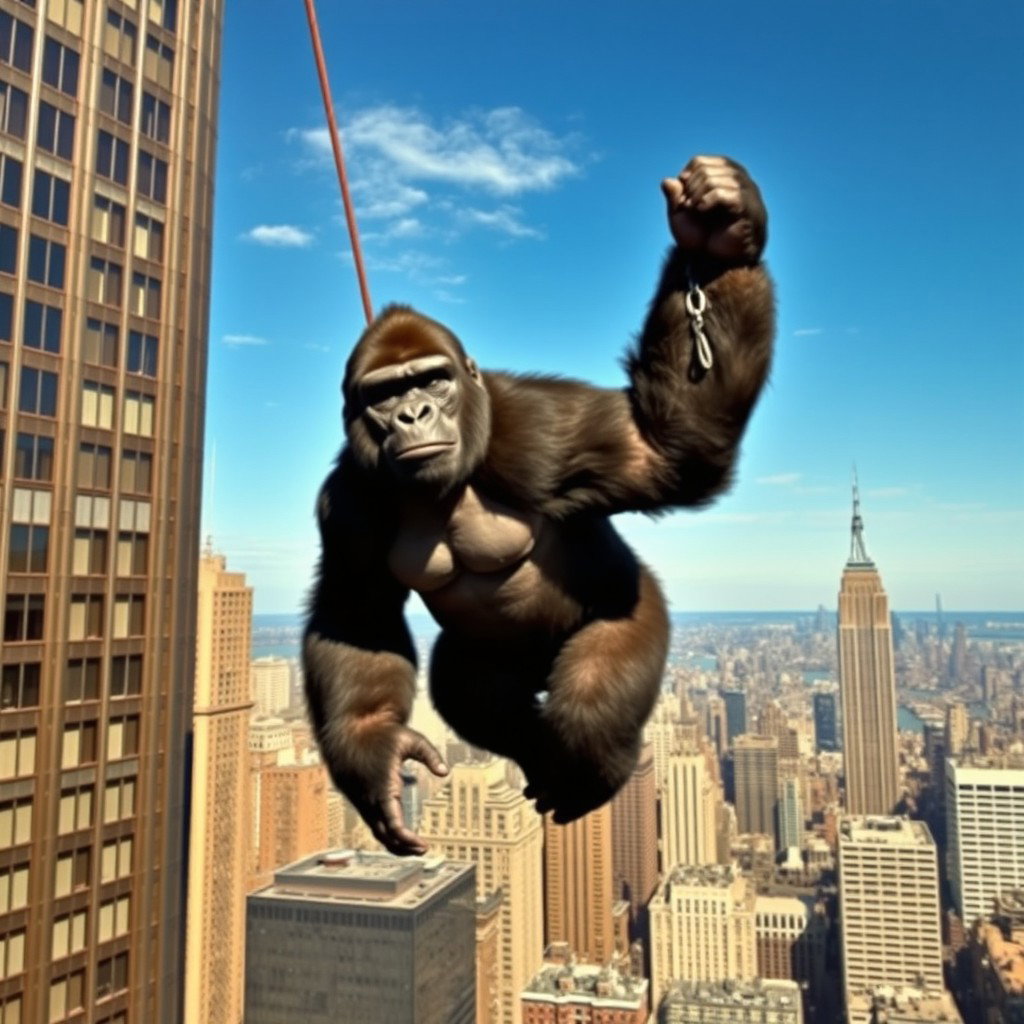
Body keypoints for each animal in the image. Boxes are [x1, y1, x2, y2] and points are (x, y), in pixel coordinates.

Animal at [304, 155, 774, 855]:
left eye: (432, 380)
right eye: (385, 394)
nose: (413, 416)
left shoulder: (537, 427)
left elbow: (667, 452)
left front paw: (724, 235)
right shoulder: (348, 502)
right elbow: (356, 611)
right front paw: (375, 753)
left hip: (637, 612)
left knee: (589, 706)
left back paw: (594, 767)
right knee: (469, 692)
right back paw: (534, 752)